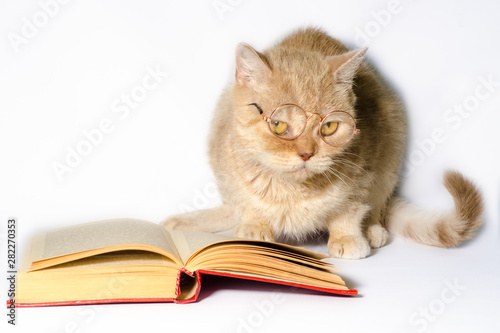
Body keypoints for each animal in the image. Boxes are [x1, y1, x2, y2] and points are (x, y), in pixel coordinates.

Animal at [162, 27, 482, 260]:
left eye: (328, 127)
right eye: (279, 125)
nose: (306, 153)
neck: (292, 191)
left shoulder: (365, 175)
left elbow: (349, 211)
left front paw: (349, 237)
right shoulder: (227, 169)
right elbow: (247, 204)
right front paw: (253, 226)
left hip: (392, 153)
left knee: (378, 205)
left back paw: (373, 230)